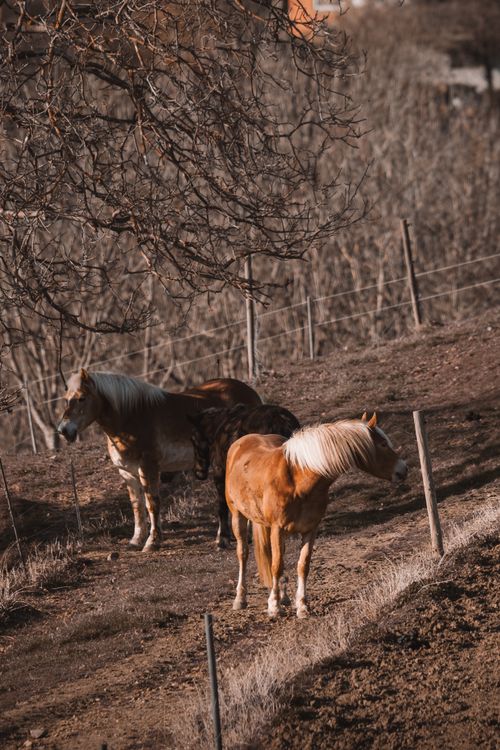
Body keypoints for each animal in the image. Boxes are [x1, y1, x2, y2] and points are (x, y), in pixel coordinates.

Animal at [57, 369, 261, 550]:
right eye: (66, 399)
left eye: (82, 398)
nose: (63, 430)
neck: (131, 417)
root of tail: (251, 394)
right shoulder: (127, 473)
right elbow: (137, 506)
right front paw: (136, 540)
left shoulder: (148, 468)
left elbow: (152, 504)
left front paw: (152, 542)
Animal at [189, 403, 300, 548]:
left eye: (193, 439)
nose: (198, 472)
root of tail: (281, 421)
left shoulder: (220, 472)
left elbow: (222, 506)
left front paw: (223, 537)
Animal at [225, 413, 408, 618]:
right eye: (383, 444)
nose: (403, 469)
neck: (298, 479)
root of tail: (241, 442)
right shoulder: (277, 528)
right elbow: (276, 565)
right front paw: (274, 606)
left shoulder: (310, 529)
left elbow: (302, 565)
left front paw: (302, 606)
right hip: (238, 516)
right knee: (243, 553)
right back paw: (241, 598)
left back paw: (284, 597)